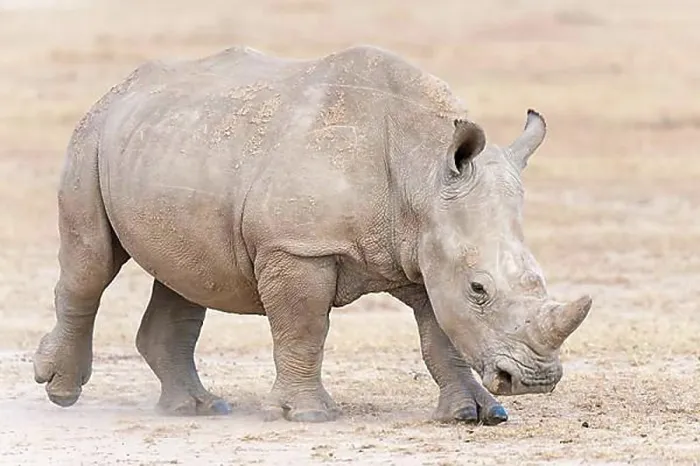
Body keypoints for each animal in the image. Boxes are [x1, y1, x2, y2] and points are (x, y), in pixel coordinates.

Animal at [33, 45, 591, 425]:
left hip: (169, 144)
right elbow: (303, 328)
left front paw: (476, 414)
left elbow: (441, 338)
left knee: (185, 277)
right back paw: (61, 391)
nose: (536, 381)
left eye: (539, 279)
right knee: (90, 265)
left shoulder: (427, 251)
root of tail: (119, 89)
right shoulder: (298, 248)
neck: (423, 172)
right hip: (90, 138)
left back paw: (198, 408)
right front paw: (307, 415)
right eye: (479, 289)